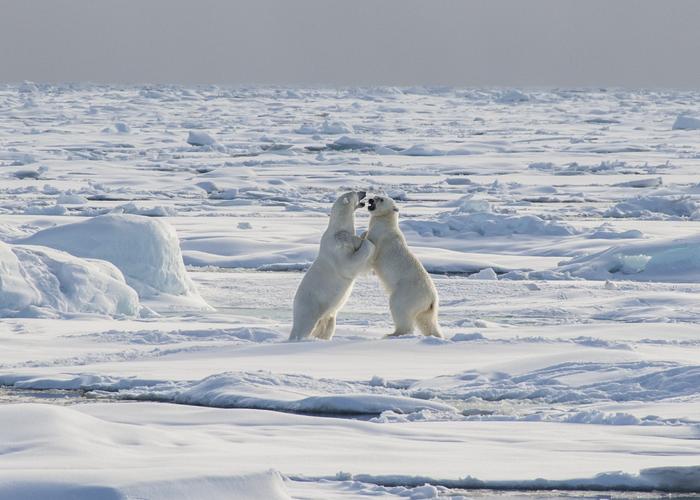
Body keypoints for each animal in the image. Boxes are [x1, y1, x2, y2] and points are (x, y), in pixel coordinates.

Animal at [288, 189, 374, 342]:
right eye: (355, 193)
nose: (364, 191)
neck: (337, 228)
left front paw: (362, 234)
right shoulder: (336, 250)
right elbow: (349, 265)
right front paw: (364, 240)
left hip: (329, 315)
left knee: (327, 328)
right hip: (310, 307)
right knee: (303, 327)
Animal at [366, 193, 442, 338]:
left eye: (381, 199)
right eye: (375, 196)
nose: (370, 199)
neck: (386, 223)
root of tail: (432, 299)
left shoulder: (380, 237)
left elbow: (371, 250)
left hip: (408, 293)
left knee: (399, 307)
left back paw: (393, 333)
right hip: (426, 308)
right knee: (427, 321)